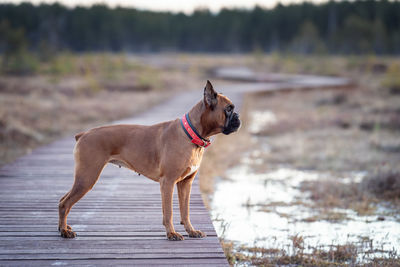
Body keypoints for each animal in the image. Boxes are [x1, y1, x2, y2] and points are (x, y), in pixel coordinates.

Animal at [58, 80, 241, 242]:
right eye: (229, 109)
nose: (238, 117)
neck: (192, 133)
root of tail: (83, 134)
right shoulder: (168, 182)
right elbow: (169, 212)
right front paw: (172, 234)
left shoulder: (185, 184)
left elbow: (185, 211)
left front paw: (191, 231)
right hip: (87, 178)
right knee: (65, 204)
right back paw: (65, 232)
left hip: (83, 179)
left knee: (62, 200)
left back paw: (63, 228)